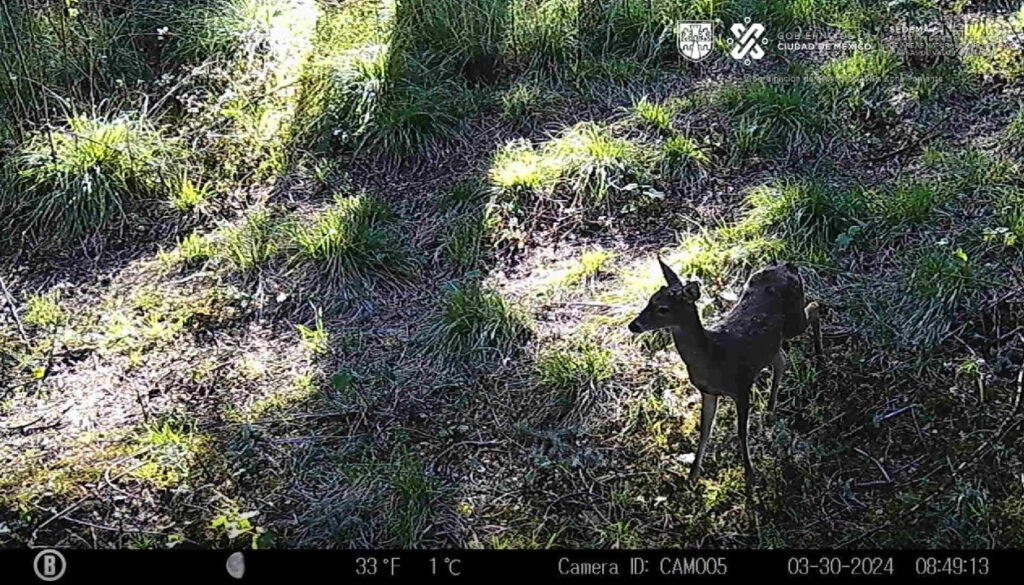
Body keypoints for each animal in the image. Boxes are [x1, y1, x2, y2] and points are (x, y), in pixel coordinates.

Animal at [622, 258, 823, 491]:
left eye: (663, 308)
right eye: (650, 300)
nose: (633, 325)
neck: (713, 357)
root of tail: (787, 265)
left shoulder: (742, 386)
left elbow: (741, 431)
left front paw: (749, 477)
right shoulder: (708, 392)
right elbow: (704, 431)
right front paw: (692, 476)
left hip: (794, 320)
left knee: (815, 307)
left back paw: (820, 355)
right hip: (772, 342)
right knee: (781, 359)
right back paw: (770, 410)